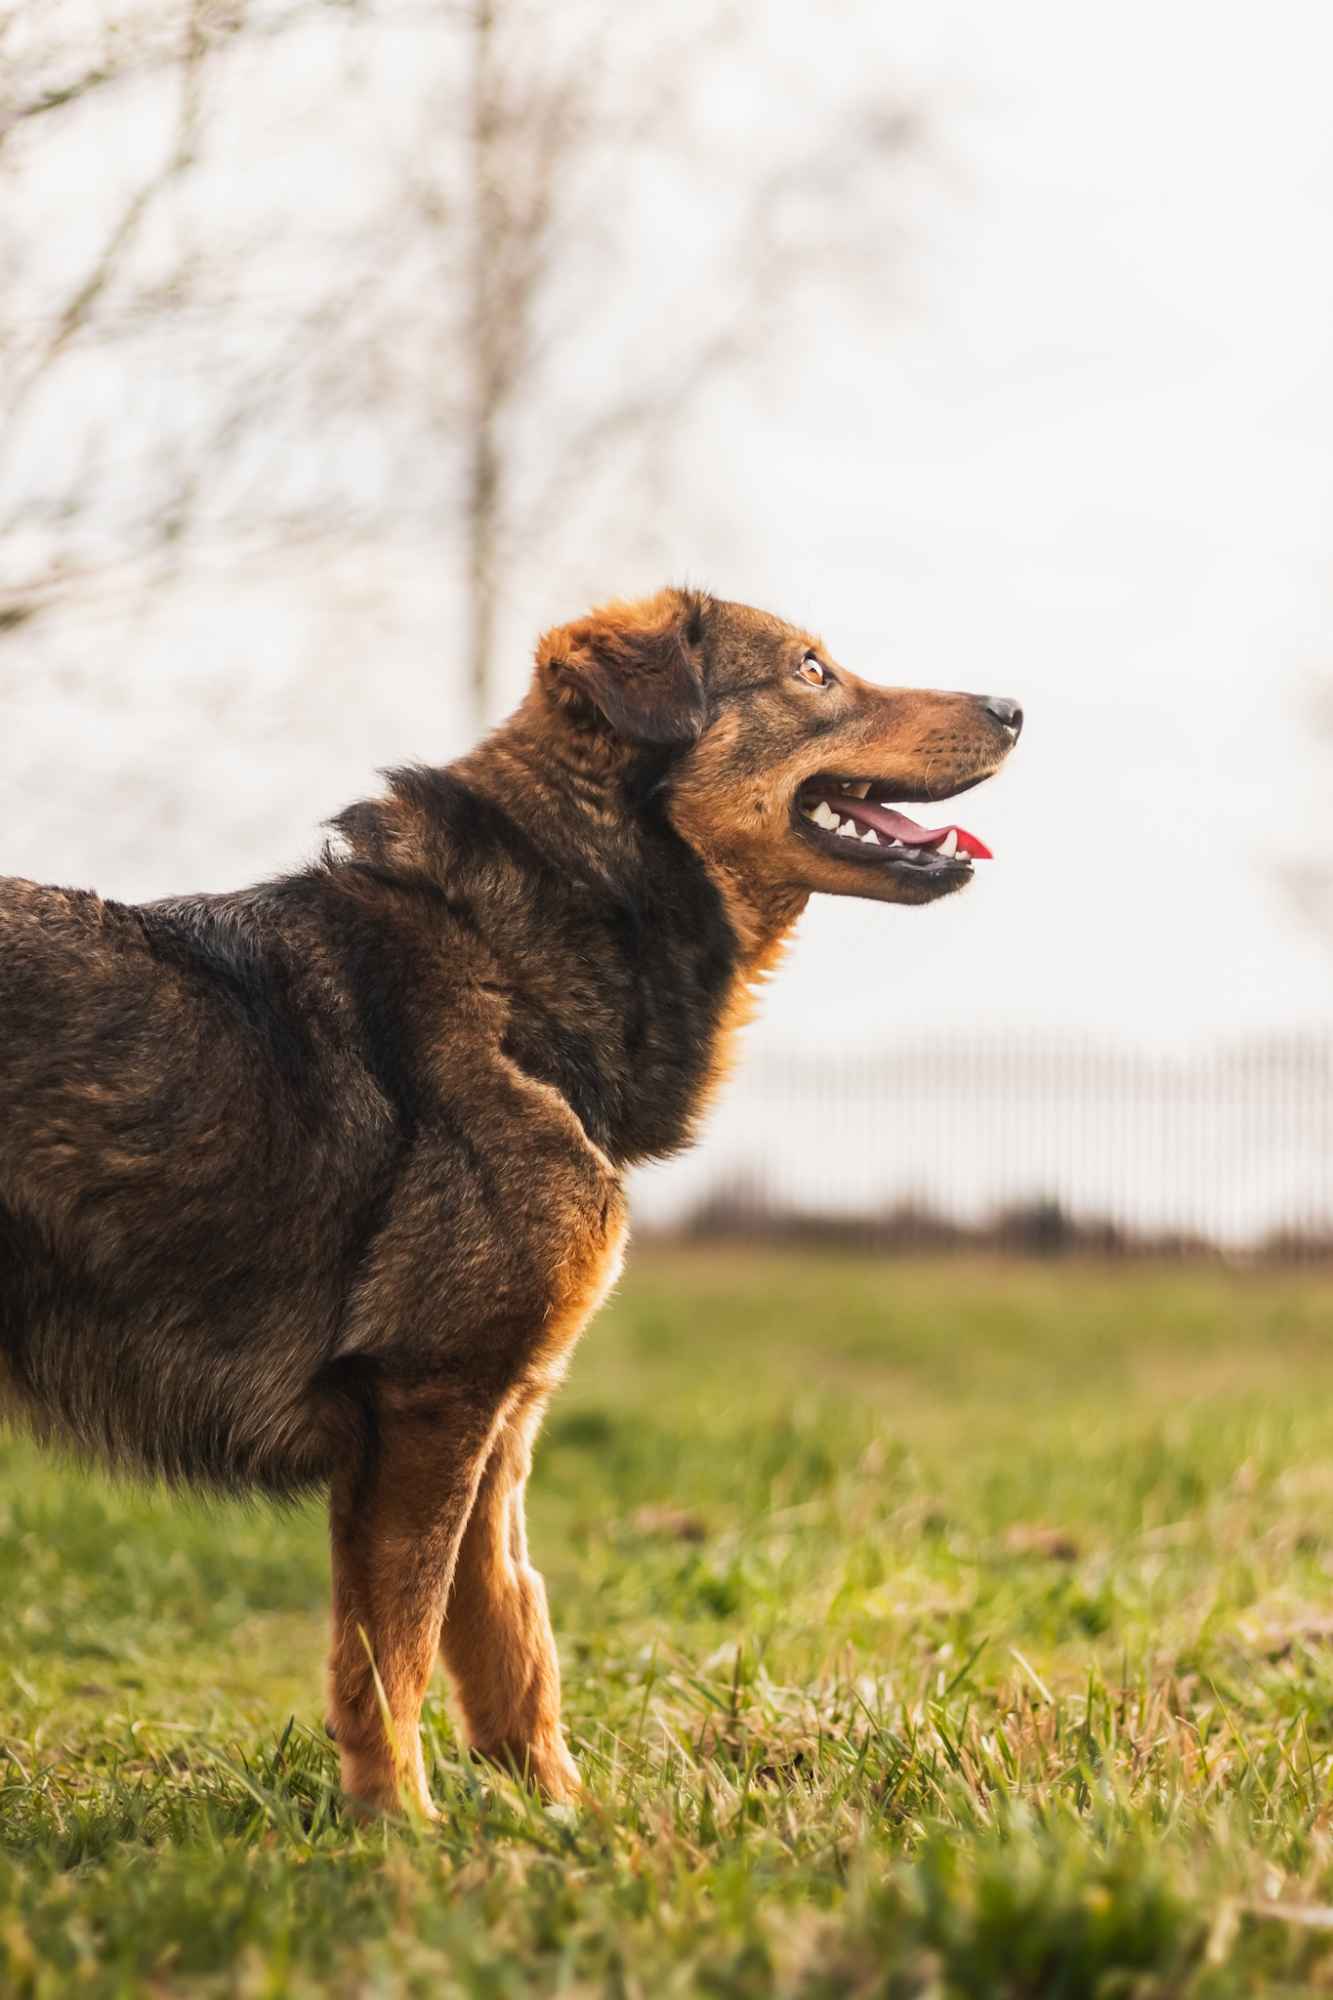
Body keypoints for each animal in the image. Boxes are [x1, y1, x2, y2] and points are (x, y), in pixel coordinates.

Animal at [0, 588, 1020, 1816]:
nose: (1013, 706)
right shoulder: (430, 1403)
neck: (512, 965)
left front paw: (555, 1816)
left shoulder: (501, 1418)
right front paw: (400, 1827)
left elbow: (508, 1634)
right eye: (811, 671)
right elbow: (393, 1652)